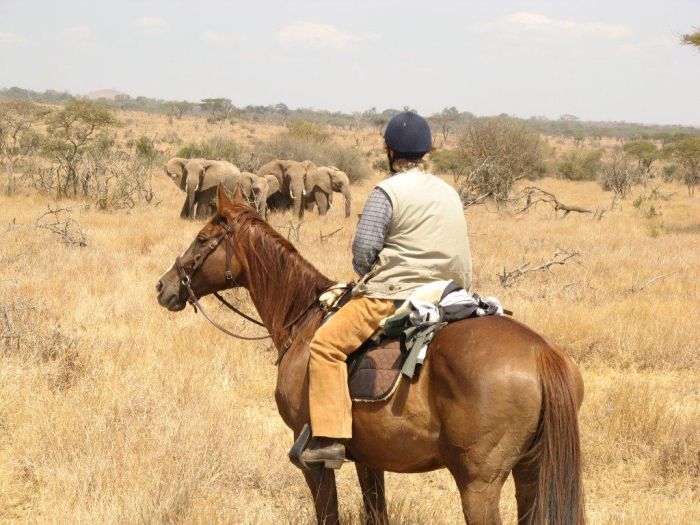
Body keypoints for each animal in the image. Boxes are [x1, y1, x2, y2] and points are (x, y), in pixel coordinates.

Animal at [154, 186, 584, 520]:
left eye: (202, 239)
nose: (164, 286)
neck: (303, 320)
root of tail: (541, 354)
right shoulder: (370, 460)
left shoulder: (314, 461)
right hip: (529, 473)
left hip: (479, 484)